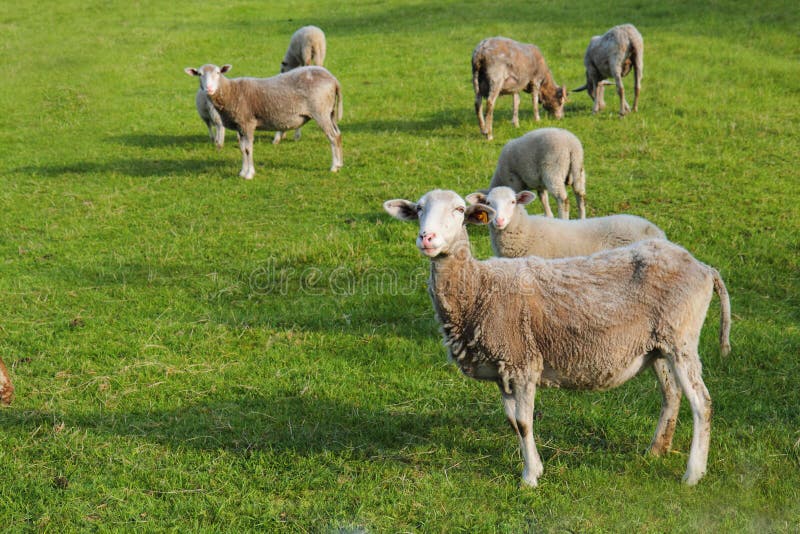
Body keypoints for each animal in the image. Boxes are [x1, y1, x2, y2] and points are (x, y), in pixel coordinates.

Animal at [184, 62, 344, 180]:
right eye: (199, 74)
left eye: (218, 73)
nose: (209, 88)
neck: (231, 92)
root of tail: (333, 79)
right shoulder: (240, 126)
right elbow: (242, 149)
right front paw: (242, 172)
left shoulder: (247, 123)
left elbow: (248, 149)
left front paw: (249, 174)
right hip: (330, 112)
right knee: (338, 134)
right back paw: (340, 164)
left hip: (321, 111)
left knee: (332, 137)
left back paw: (334, 167)